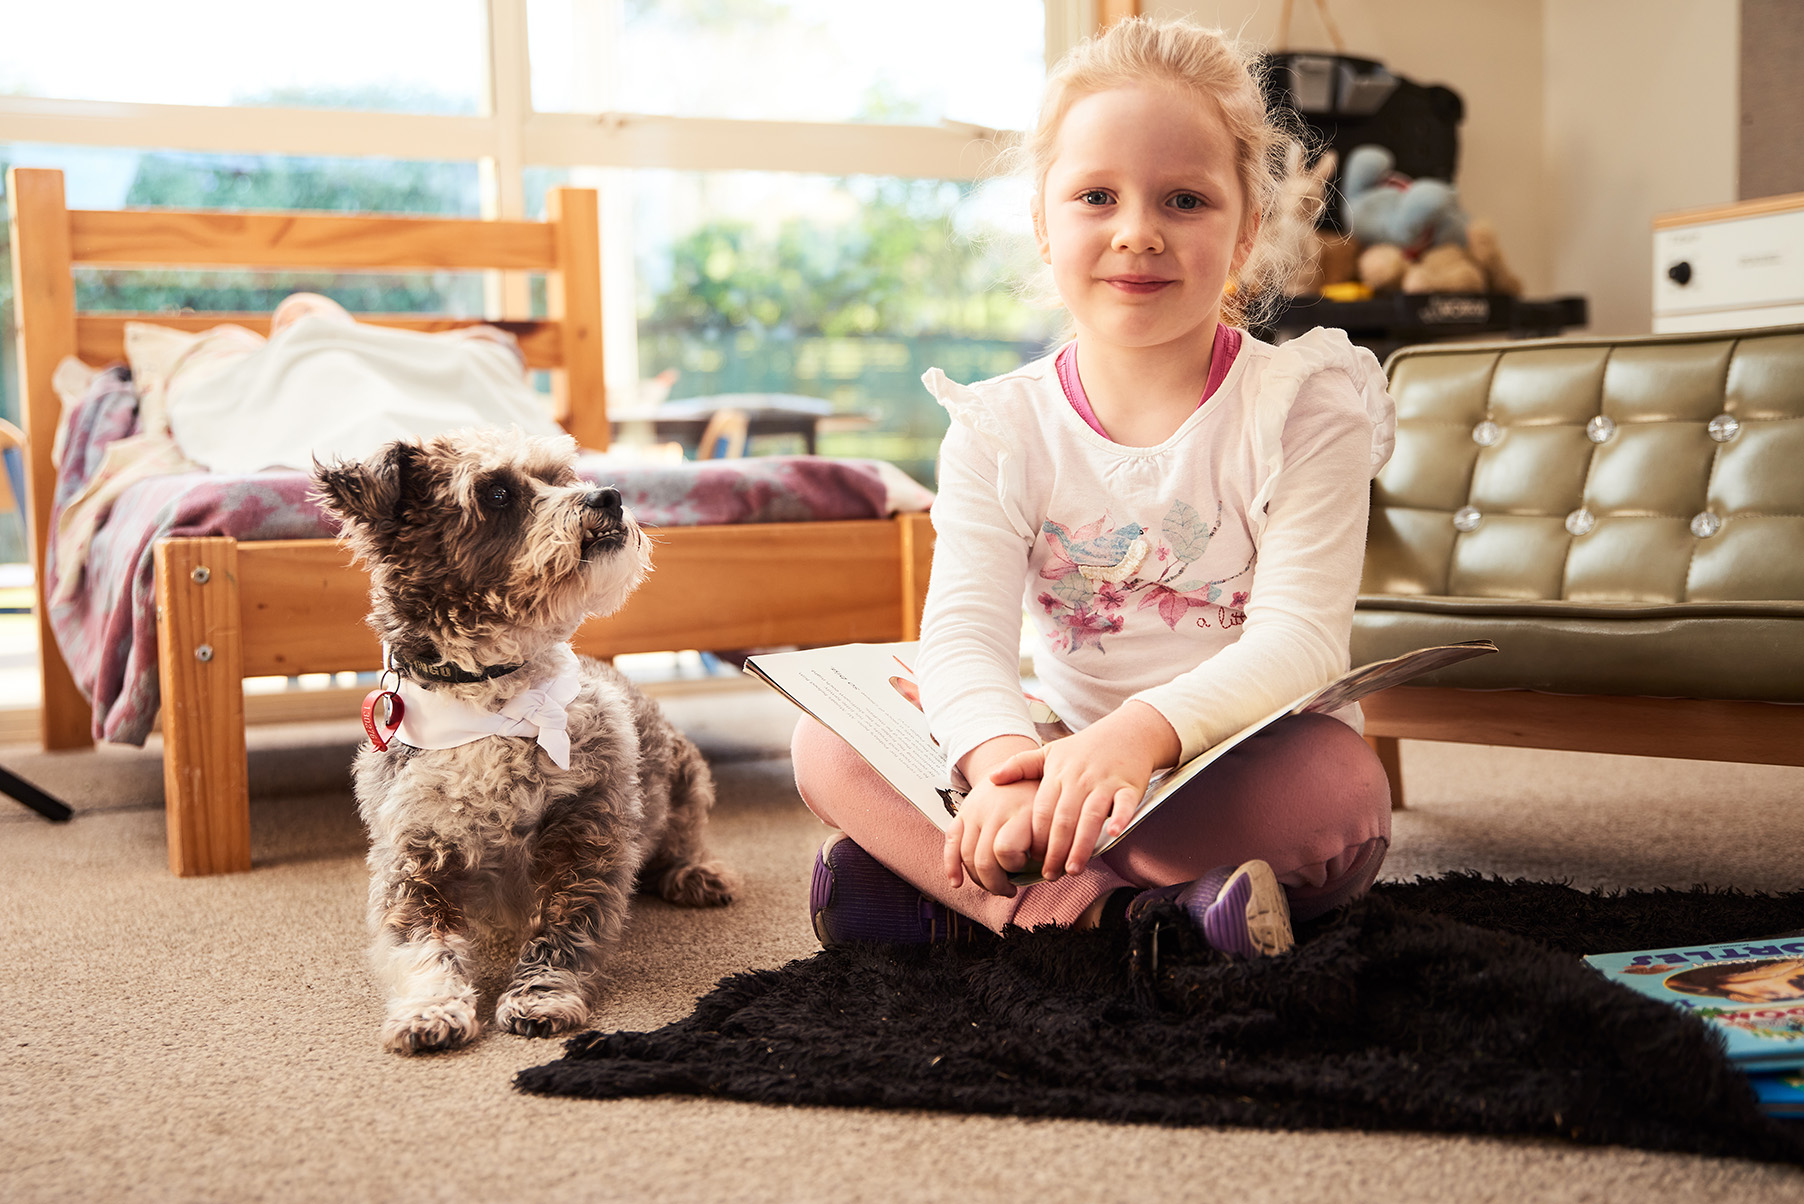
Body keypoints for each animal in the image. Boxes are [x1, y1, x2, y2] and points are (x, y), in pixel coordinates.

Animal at [315, 427, 732, 1046]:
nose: (609, 496)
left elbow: (562, 933)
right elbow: (421, 945)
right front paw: (430, 1007)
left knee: (683, 837)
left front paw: (540, 996)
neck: (493, 704)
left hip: (684, 778)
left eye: (560, 477)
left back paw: (695, 873)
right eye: (496, 494)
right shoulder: (411, 858)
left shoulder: (587, 838)